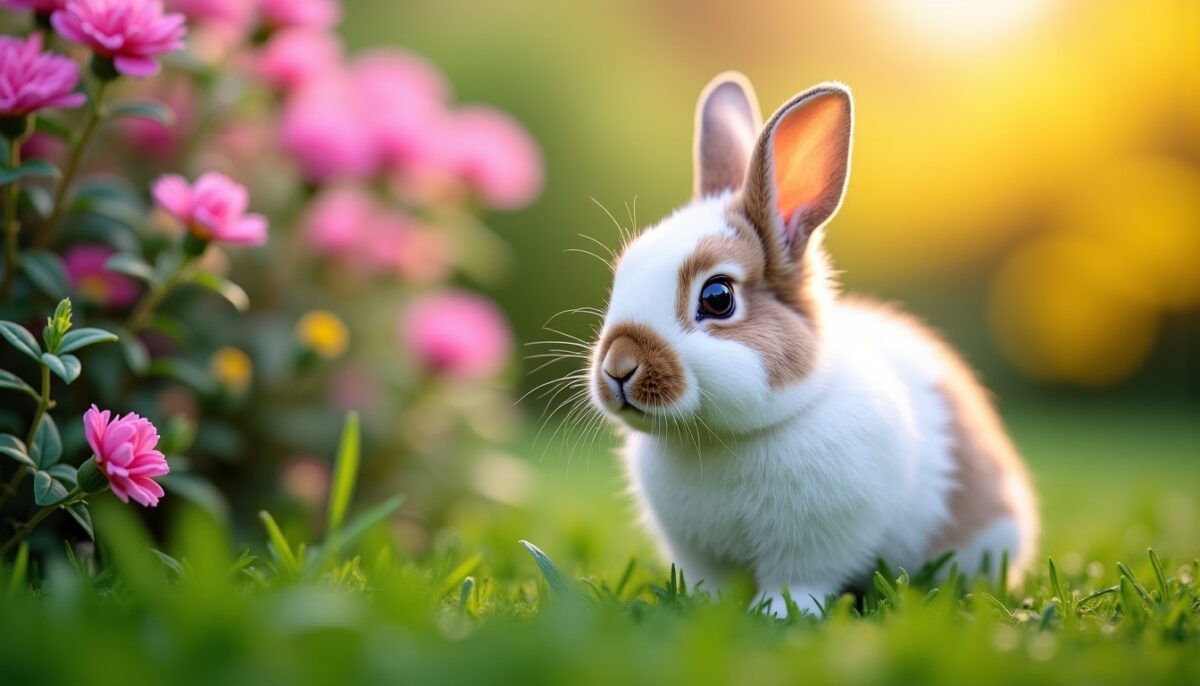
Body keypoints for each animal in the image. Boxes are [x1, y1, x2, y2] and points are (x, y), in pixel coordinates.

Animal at [586, 72, 1039, 617]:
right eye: (622, 274)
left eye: (717, 298)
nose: (618, 367)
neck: (720, 438)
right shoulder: (698, 552)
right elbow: (712, 582)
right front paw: (707, 607)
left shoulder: (814, 546)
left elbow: (799, 581)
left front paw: (780, 614)